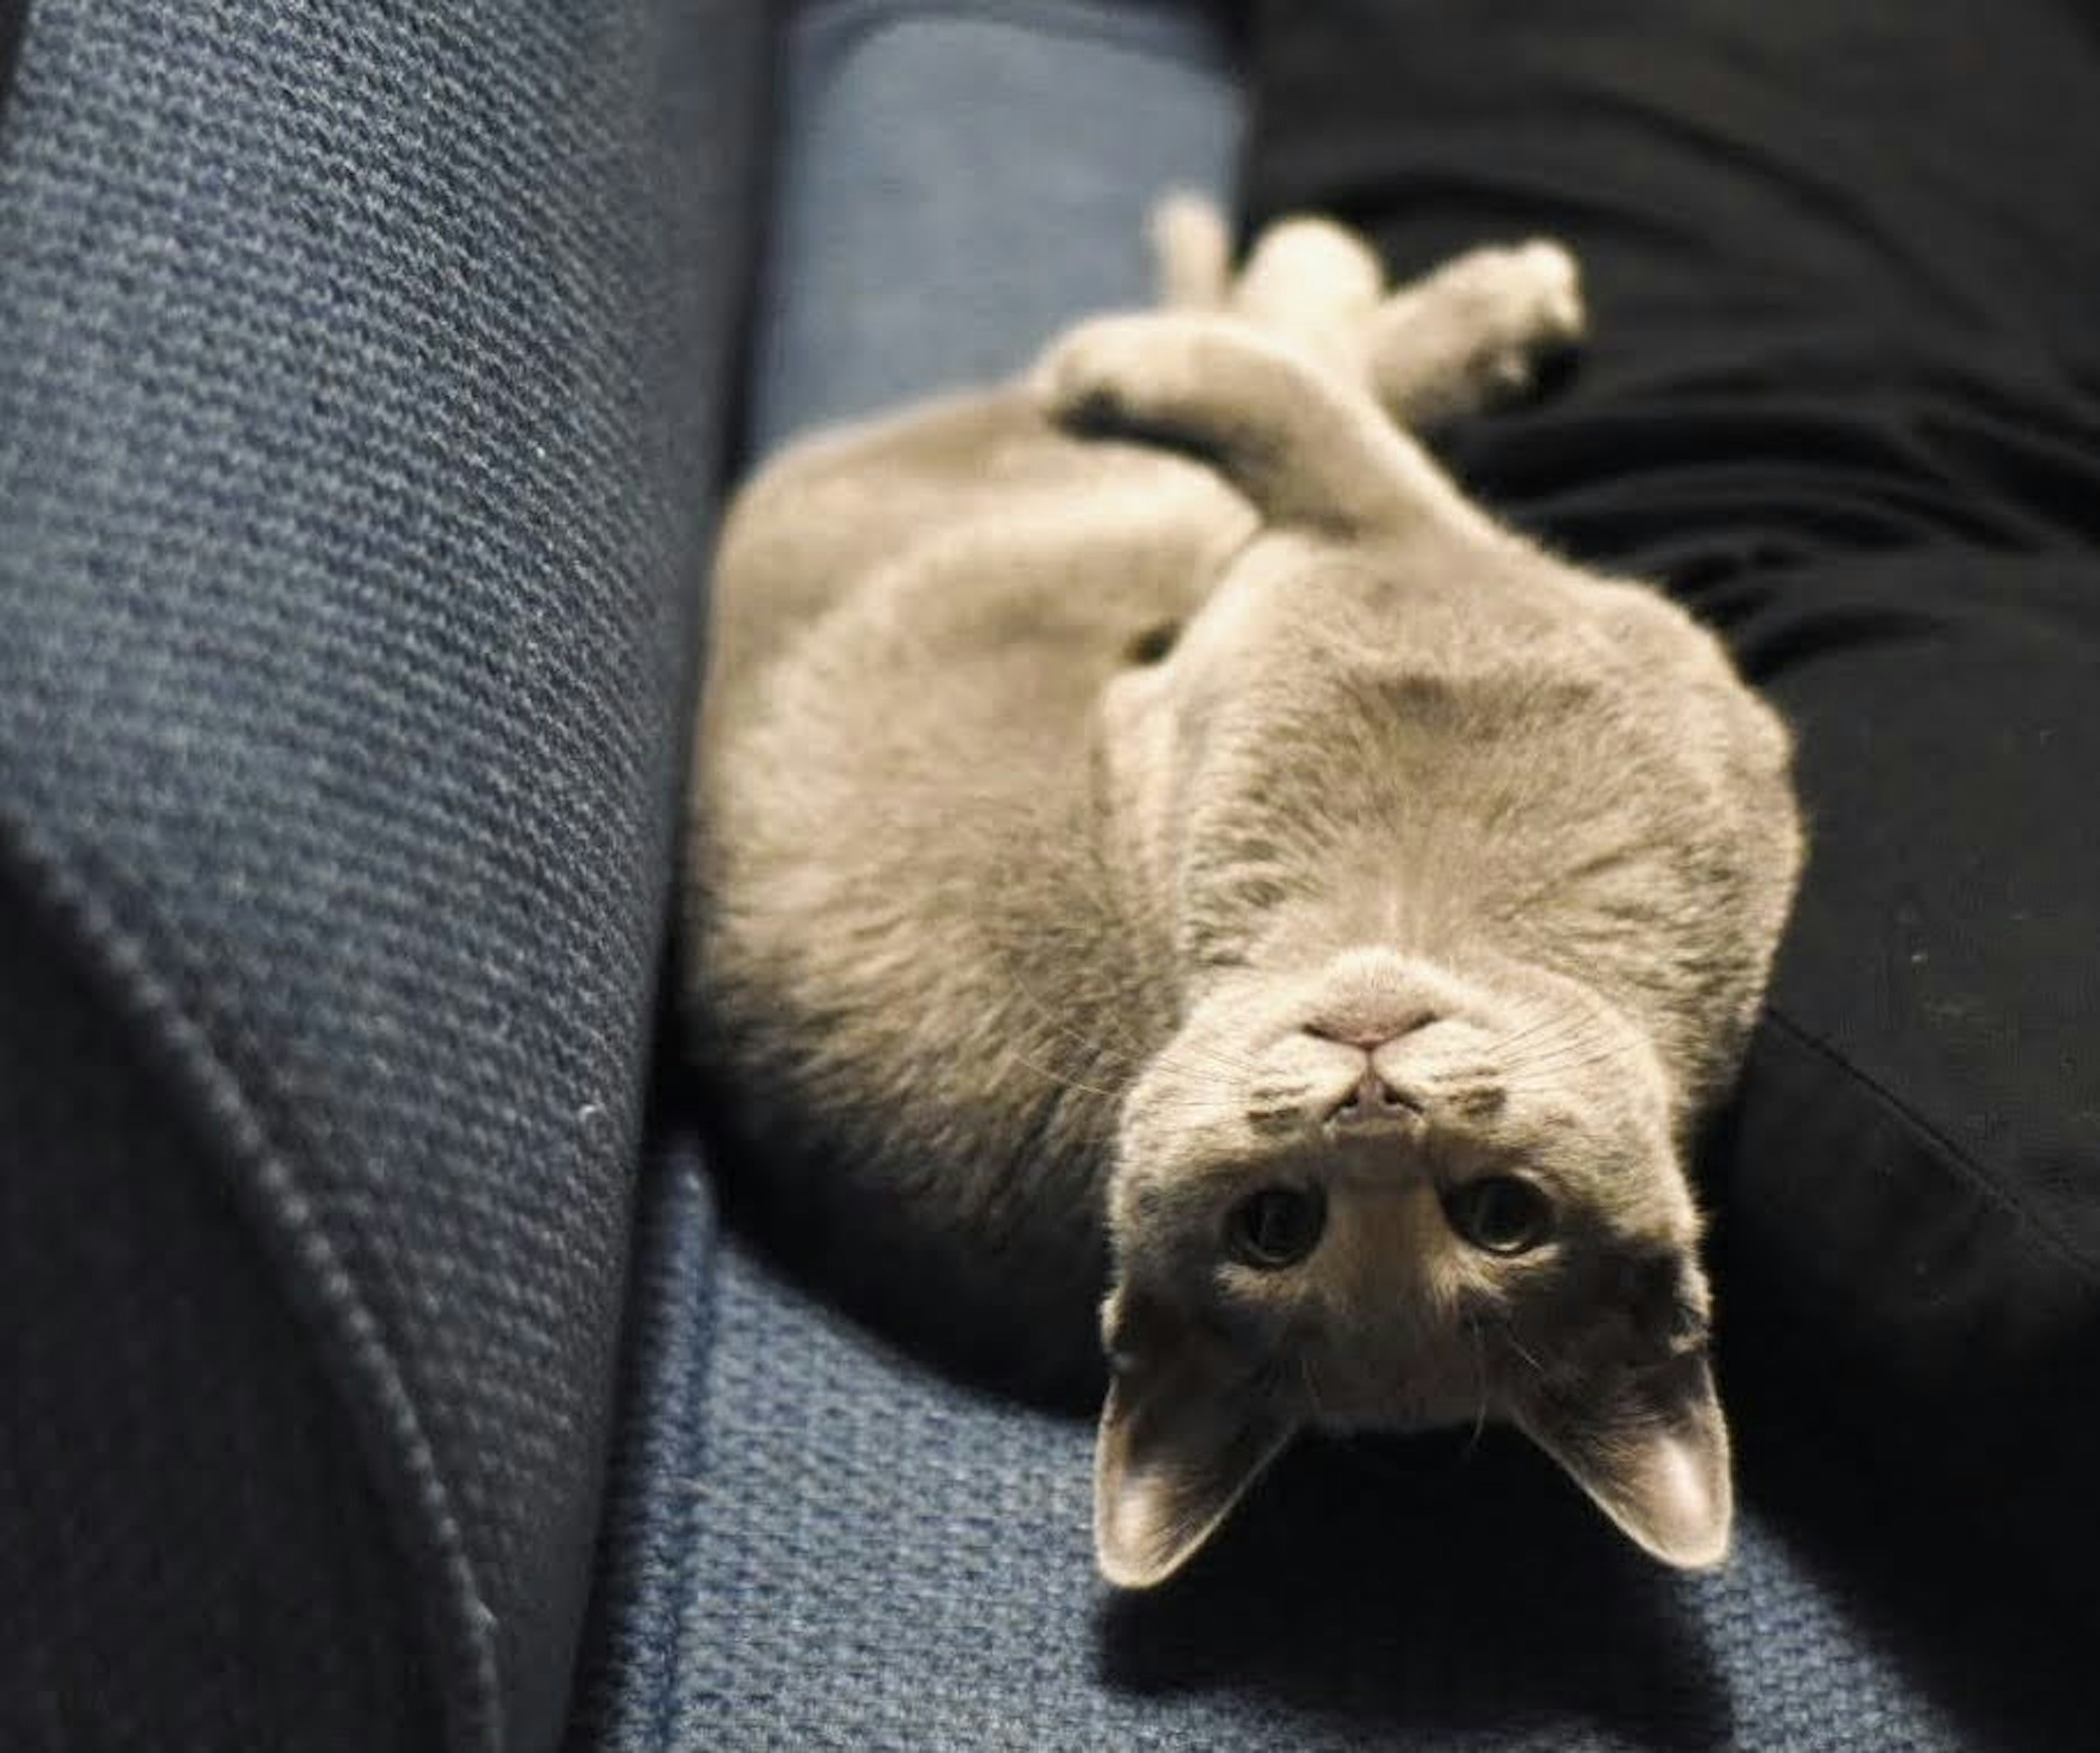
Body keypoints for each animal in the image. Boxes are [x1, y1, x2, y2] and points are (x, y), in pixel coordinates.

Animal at [689, 202, 1806, 1587]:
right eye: (1274, 1226)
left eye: (1499, 1214)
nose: (1370, 1105)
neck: (1409, 911)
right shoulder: (1373, 550)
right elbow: (1304, 417)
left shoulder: (1375, 553)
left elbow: (1303, 413)